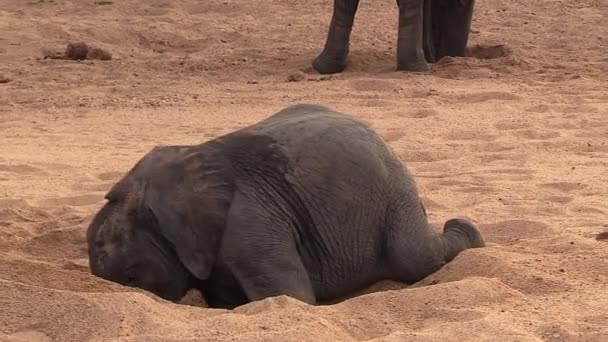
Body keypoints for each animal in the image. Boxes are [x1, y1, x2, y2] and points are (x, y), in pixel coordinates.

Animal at [86, 103, 484, 308]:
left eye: (130, 275)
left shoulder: (249, 221)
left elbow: (291, 298)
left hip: (393, 192)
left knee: (415, 257)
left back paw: (467, 231)